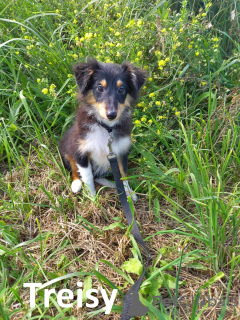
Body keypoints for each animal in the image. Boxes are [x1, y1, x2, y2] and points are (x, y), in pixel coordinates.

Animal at [59, 57, 147, 198]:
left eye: (121, 89)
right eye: (100, 88)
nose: (111, 115)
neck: (106, 127)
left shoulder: (120, 152)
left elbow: (123, 175)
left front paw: (129, 194)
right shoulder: (80, 150)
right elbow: (88, 176)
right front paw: (92, 198)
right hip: (67, 147)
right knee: (73, 167)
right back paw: (76, 184)